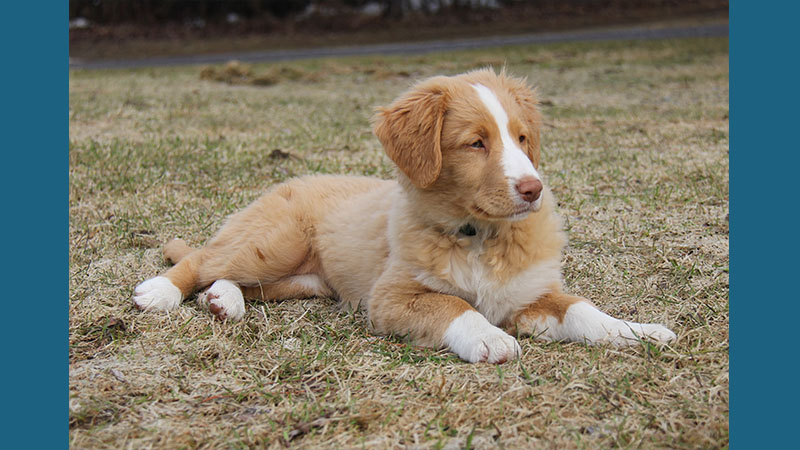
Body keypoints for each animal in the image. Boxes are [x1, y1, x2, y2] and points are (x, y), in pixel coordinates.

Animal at [131, 68, 676, 364]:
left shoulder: (530, 294)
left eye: (523, 138)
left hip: (304, 280)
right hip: (276, 242)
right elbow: (454, 305)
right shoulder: (390, 297)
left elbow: (583, 310)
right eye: (476, 143)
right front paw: (490, 338)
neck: (480, 236)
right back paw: (160, 292)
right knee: (203, 260)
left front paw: (637, 332)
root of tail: (295, 180)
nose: (532, 189)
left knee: (236, 279)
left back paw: (223, 301)